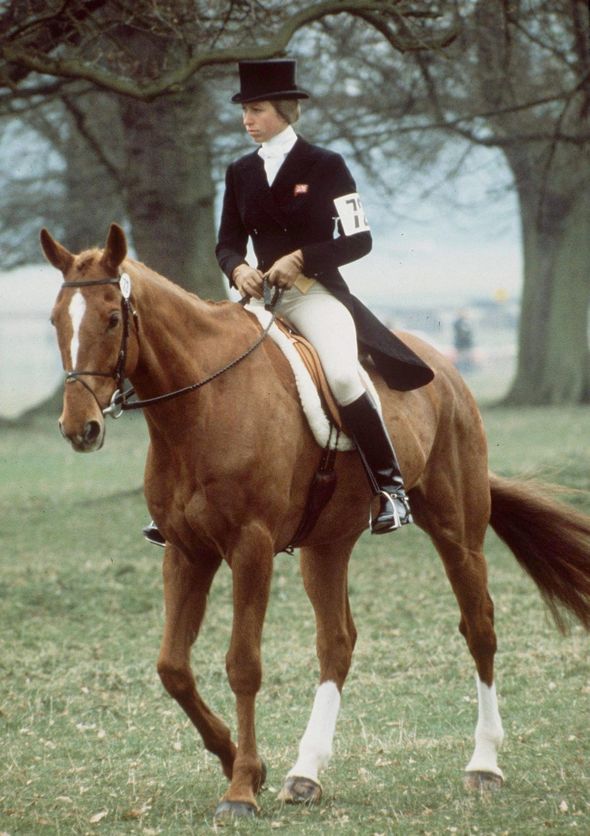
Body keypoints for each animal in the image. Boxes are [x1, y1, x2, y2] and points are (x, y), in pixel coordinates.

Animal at [41, 223, 590, 820]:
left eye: (111, 318)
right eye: (55, 320)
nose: (78, 428)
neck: (202, 407)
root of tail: (445, 370)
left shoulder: (250, 547)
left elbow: (243, 664)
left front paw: (240, 789)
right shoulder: (186, 551)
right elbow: (173, 668)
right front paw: (241, 763)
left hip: (457, 530)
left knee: (480, 628)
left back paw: (484, 764)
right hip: (326, 545)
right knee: (337, 642)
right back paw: (304, 773)